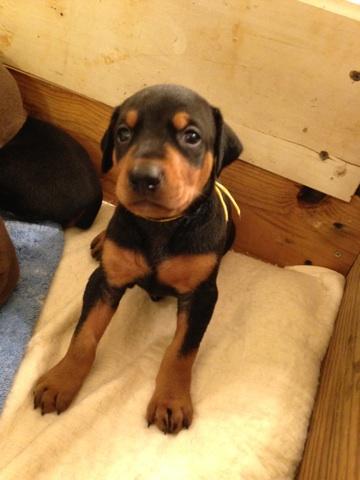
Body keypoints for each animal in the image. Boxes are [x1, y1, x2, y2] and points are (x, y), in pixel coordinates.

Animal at [33, 84, 243, 434]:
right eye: (124, 133)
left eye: (191, 136)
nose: (144, 177)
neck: (160, 225)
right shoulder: (104, 280)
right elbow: (83, 337)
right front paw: (60, 381)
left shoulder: (201, 295)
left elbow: (181, 350)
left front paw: (170, 401)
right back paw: (101, 240)